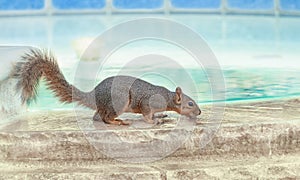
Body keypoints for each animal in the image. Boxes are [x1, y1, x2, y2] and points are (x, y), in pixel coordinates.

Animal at [11, 48, 202, 126]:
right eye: (190, 103)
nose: (199, 112)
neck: (167, 97)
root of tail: (94, 95)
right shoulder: (148, 103)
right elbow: (147, 115)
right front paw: (155, 121)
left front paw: (161, 115)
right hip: (119, 101)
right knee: (105, 118)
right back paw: (119, 122)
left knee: (97, 117)